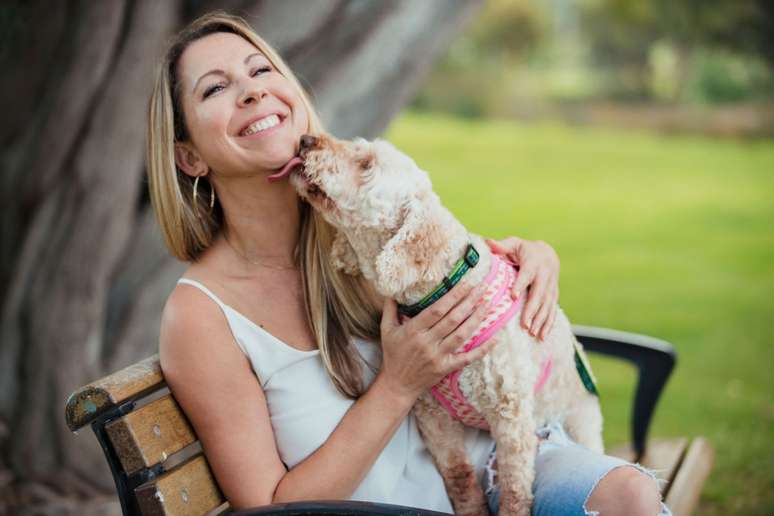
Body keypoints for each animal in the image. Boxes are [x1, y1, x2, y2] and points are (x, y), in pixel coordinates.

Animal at [292, 134, 608, 516]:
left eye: (366, 164)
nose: (306, 139)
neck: (446, 284)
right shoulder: (433, 416)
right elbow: (460, 477)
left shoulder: (511, 417)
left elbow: (515, 491)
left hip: (580, 420)